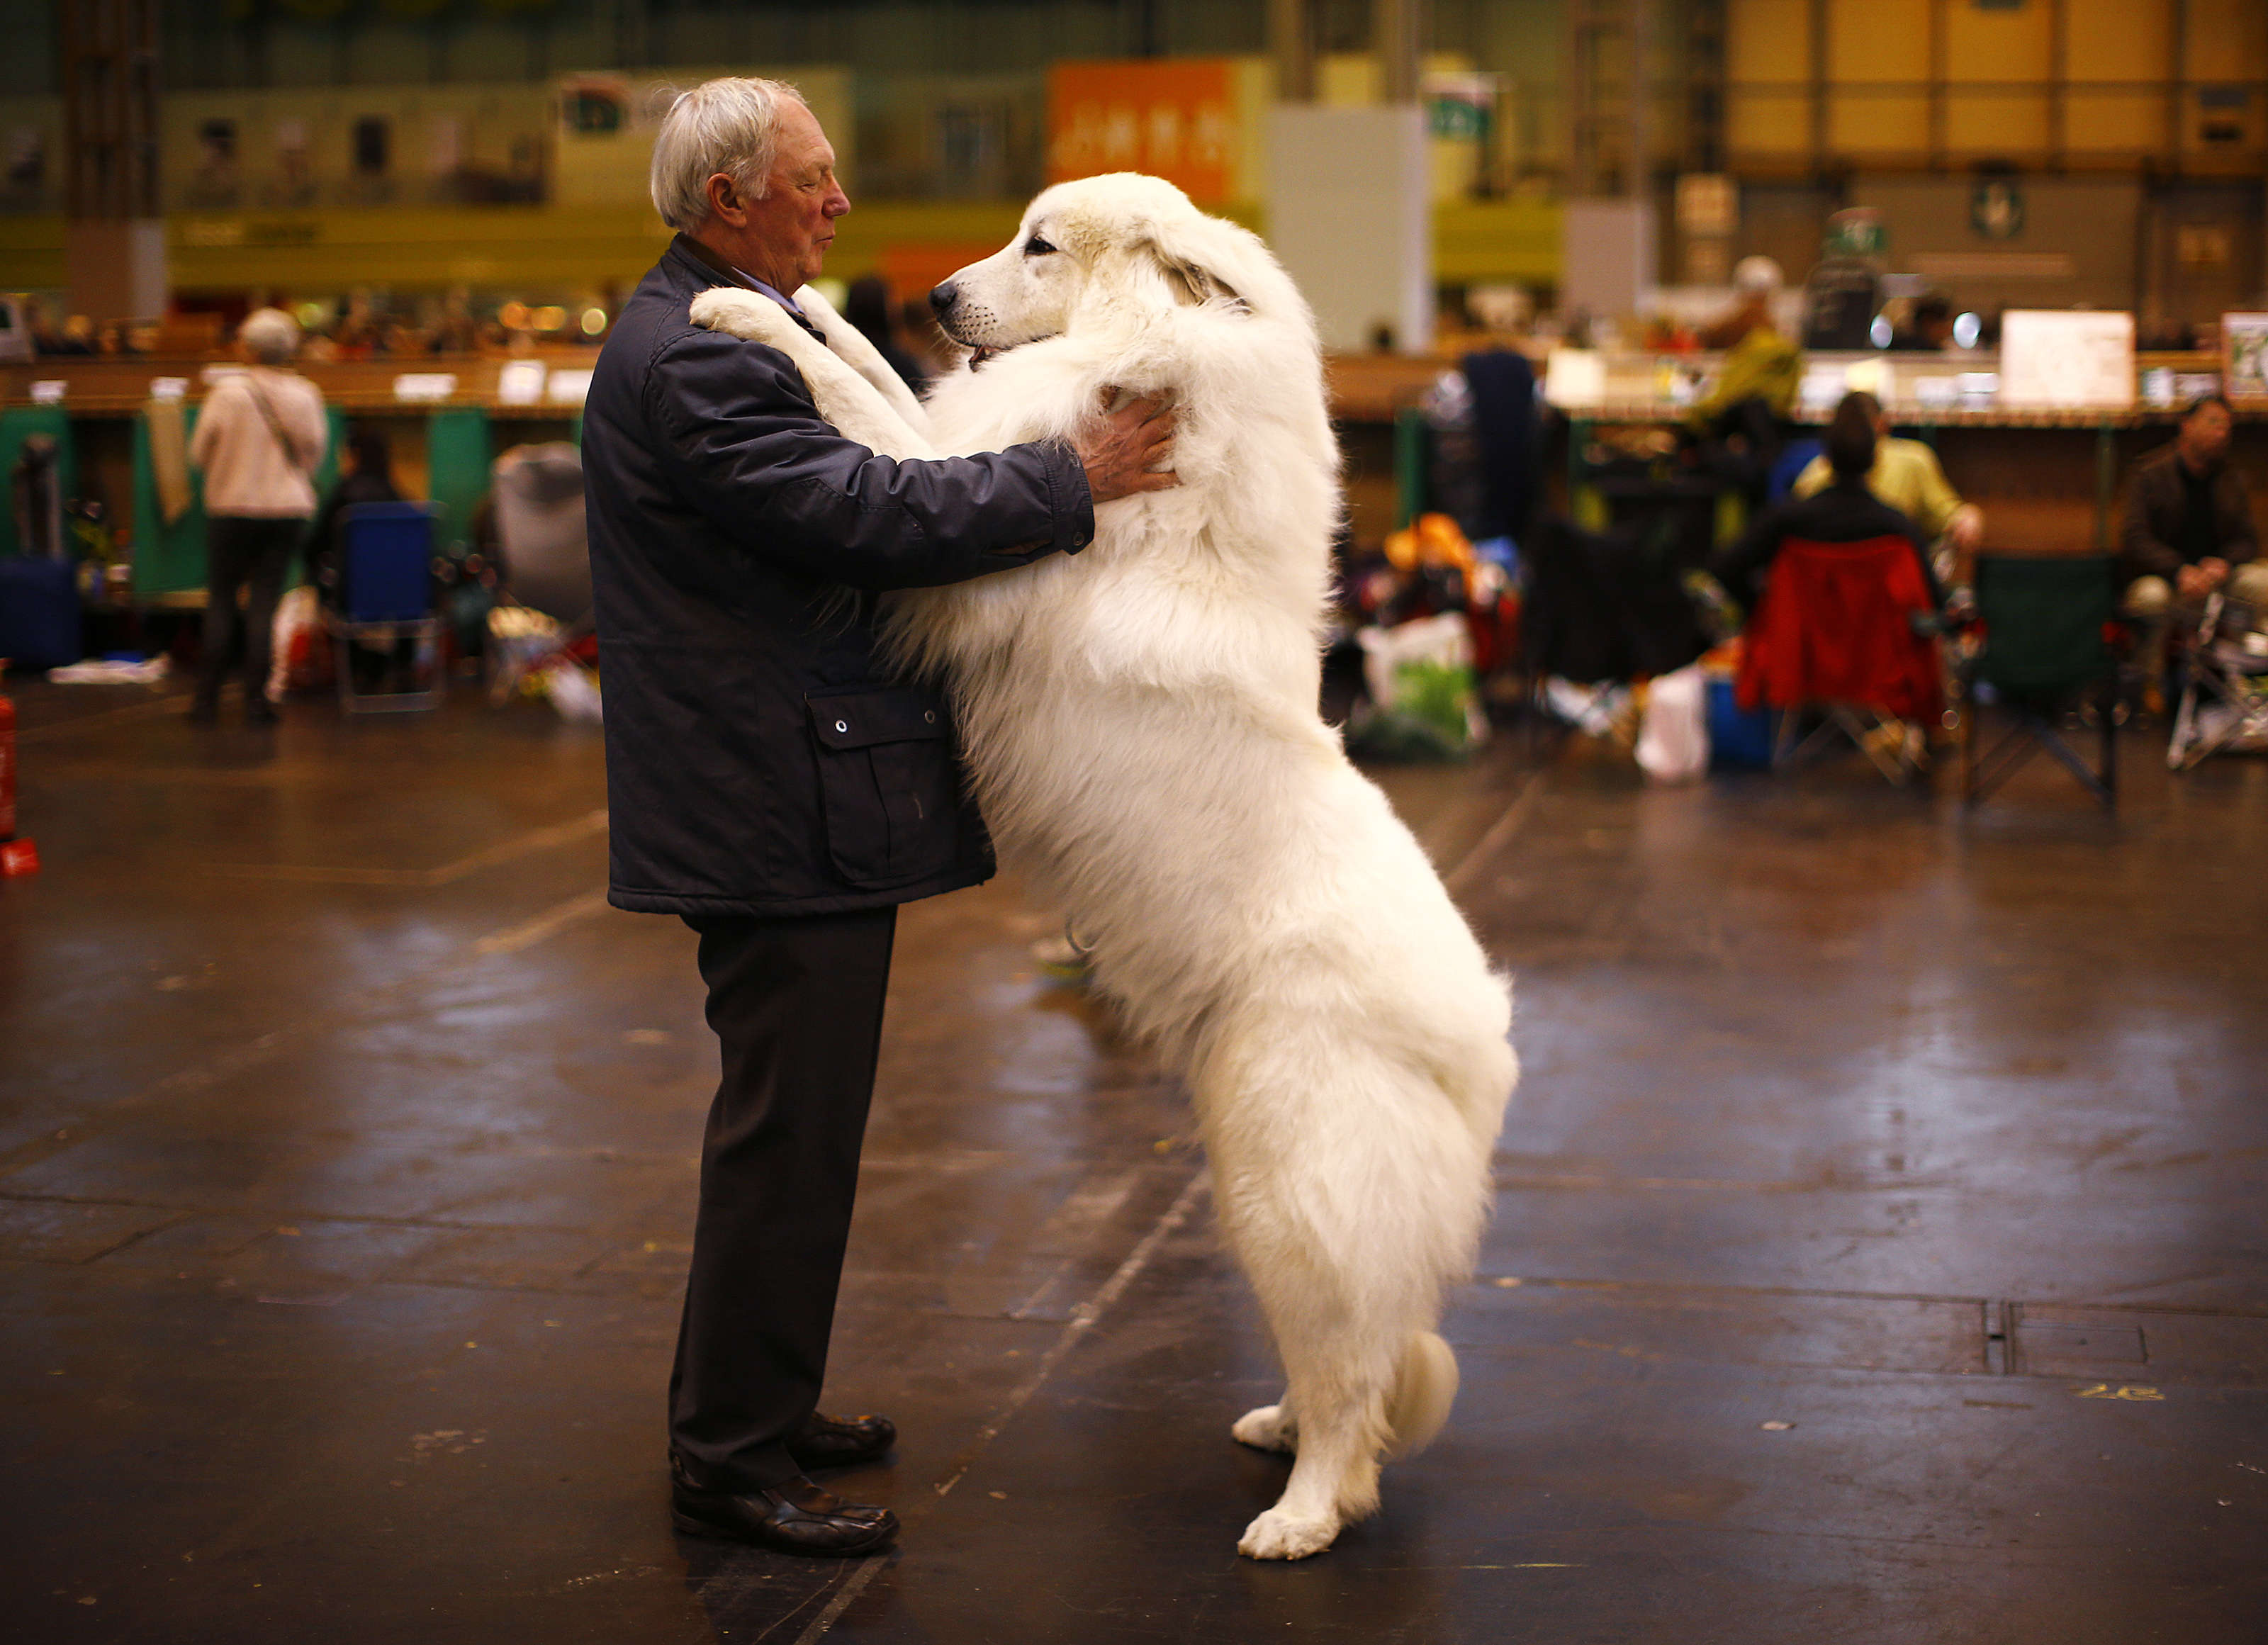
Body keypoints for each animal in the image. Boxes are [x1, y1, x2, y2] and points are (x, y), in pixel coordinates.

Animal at [680, 173, 1515, 1561]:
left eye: (1040, 246)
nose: (935, 297)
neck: (1162, 374)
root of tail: (1482, 1053)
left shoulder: (955, 514)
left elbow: (866, 413)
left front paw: (737, 312)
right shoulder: (972, 447)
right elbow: (882, 382)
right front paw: (805, 305)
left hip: (1286, 1195)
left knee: (1353, 1378)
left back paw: (1300, 1516)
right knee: (1343, 1357)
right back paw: (1279, 1432)